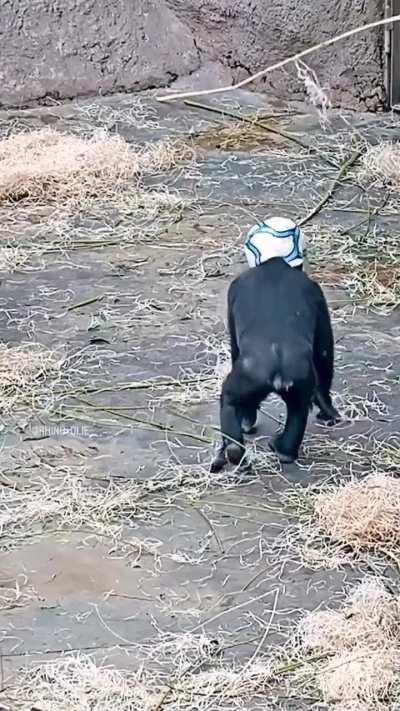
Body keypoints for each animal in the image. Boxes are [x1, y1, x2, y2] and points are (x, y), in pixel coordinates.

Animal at [210, 256, 340, 472]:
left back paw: (235, 447)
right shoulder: (317, 293)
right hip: (300, 382)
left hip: (248, 378)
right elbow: (324, 350)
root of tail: (280, 374)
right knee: (298, 411)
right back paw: (284, 451)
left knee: (229, 399)